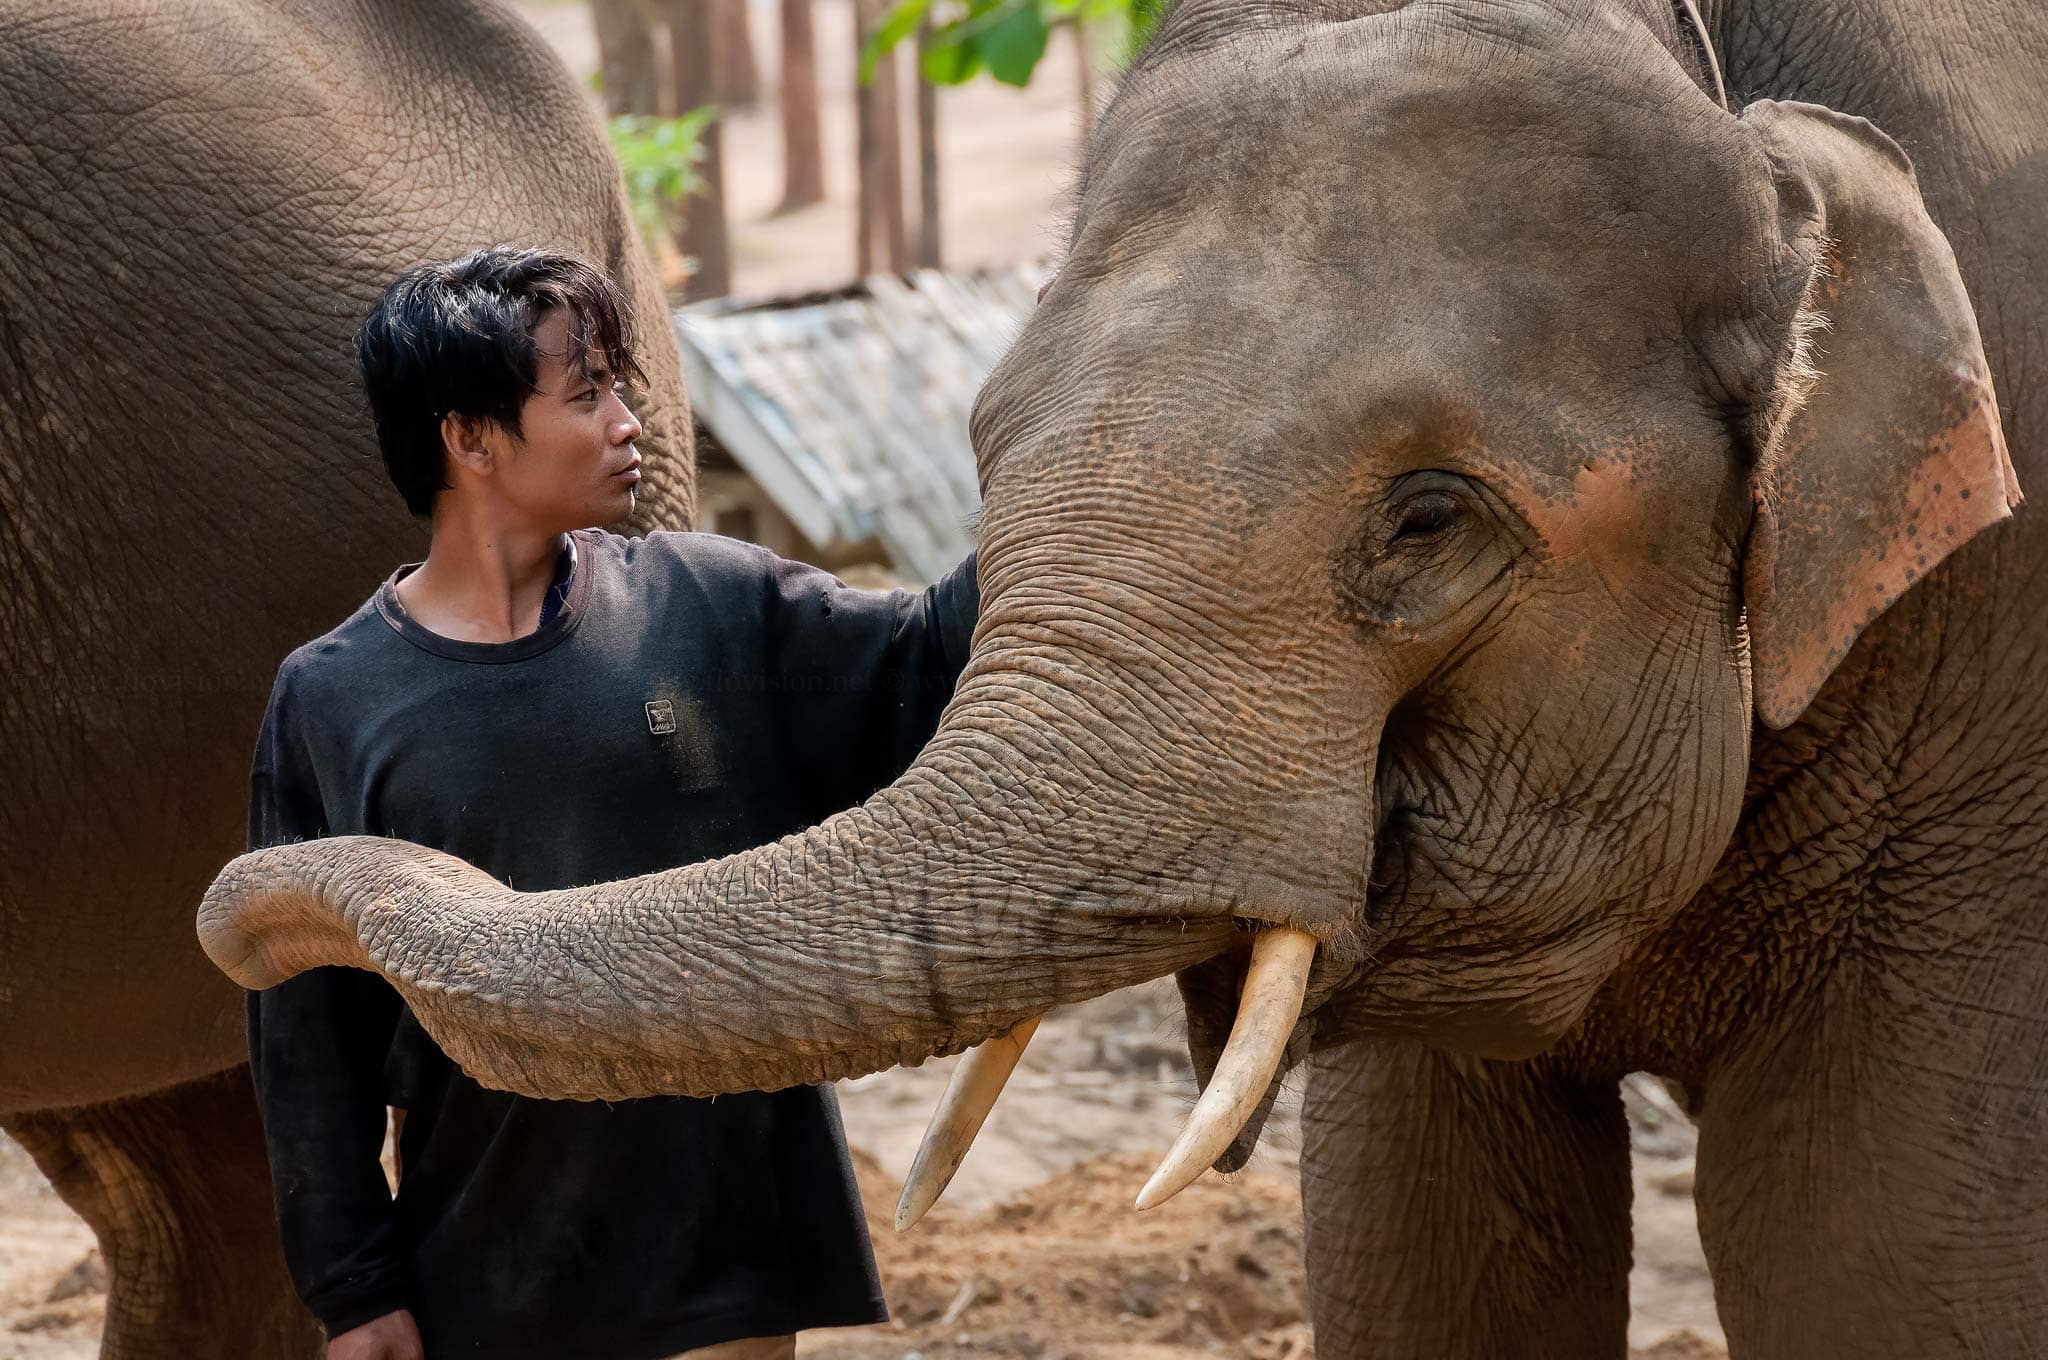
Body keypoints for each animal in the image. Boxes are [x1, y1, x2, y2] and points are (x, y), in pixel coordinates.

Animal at [199, 0, 2039, 1351]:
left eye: (1428, 521)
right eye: (982, 447)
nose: (239, 918)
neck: (1743, 116)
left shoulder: (1985, 725)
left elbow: (1866, 1243)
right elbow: (1418, 1233)